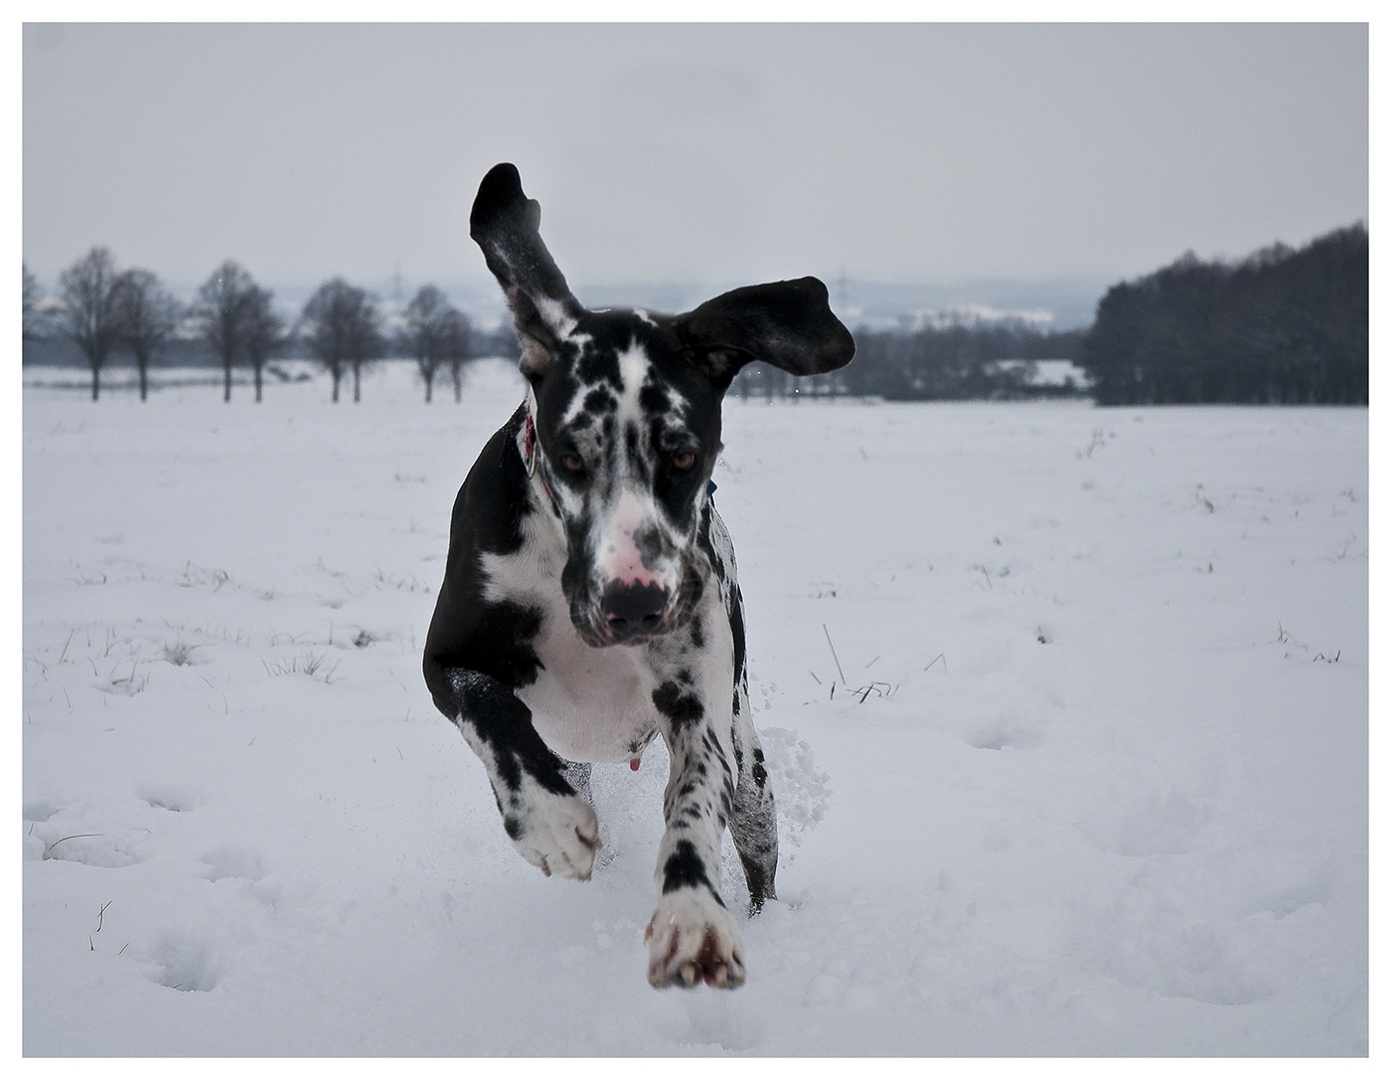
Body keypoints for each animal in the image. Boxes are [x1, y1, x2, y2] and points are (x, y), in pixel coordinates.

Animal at [422, 162, 851, 985]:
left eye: (683, 455)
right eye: (570, 456)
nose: (633, 605)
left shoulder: (699, 715)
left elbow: (690, 814)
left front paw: (692, 917)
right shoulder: (446, 659)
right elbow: (490, 713)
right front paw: (551, 823)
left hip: (750, 767)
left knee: (755, 845)